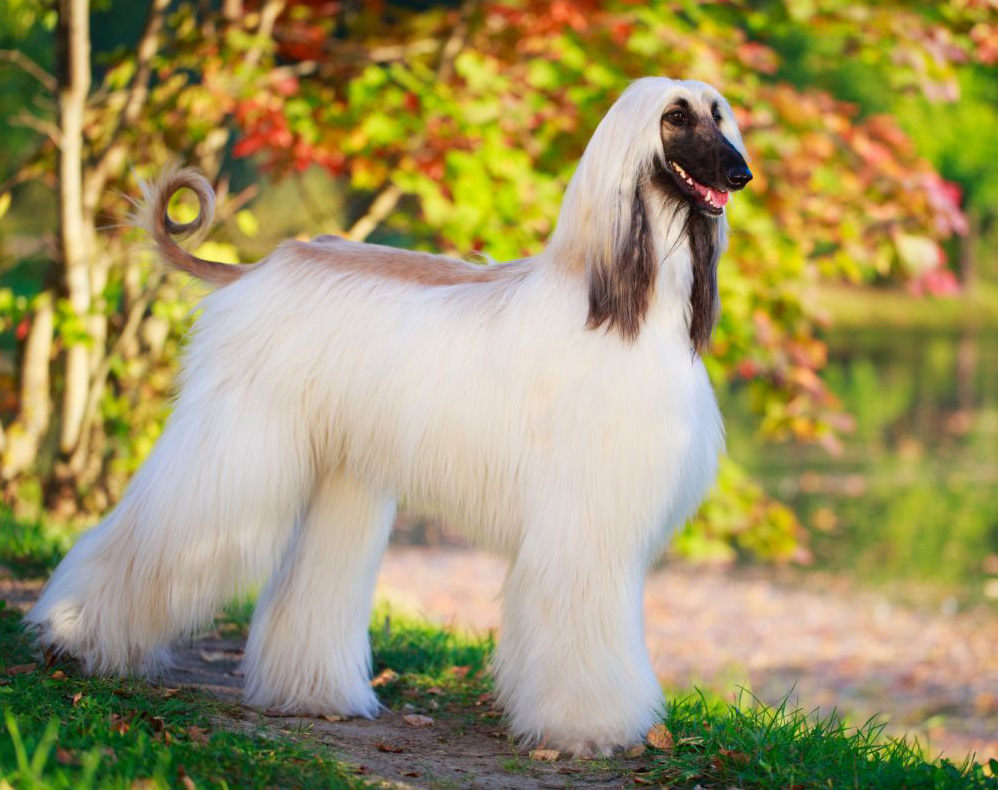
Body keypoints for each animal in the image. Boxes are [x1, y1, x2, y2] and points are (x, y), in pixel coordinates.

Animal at [27, 77, 752, 756]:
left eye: (719, 115)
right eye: (676, 116)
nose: (741, 173)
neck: (631, 302)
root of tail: (259, 267)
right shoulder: (583, 514)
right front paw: (593, 728)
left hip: (340, 467)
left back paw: (312, 694)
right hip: (238, 442)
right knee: (160, 531)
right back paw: (72, 636)